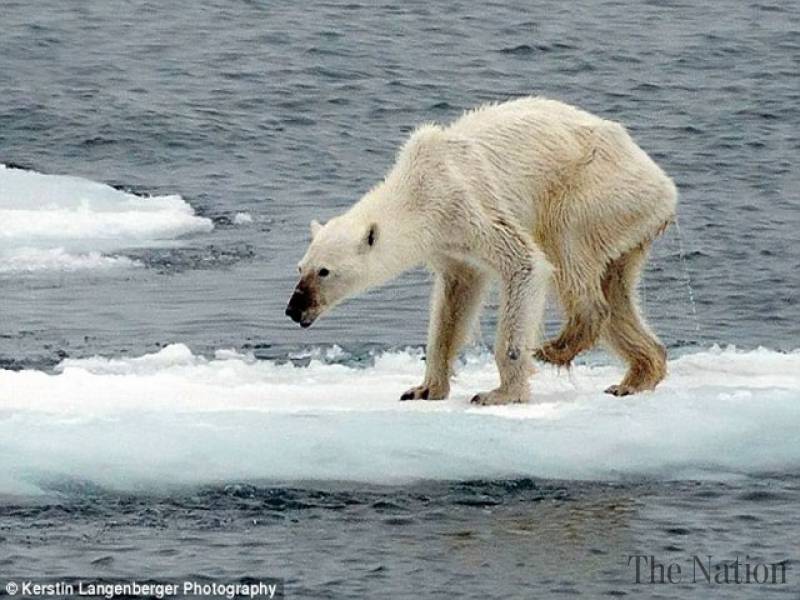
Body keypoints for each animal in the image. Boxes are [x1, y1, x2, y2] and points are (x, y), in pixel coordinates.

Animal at [286, 98, 676, 406]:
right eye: (300, 268)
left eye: (324, 271)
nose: (294, 309)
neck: (419, 189)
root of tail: (664, 185)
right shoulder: (448, 244)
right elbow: (454, 301)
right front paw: (423, 389)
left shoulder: (466, 203)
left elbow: (525, 263)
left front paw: (500, 393)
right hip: (627, 224)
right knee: (617, 291)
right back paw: (636, 377)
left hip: (596, 191)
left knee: (567, 246)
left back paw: (558, 346)